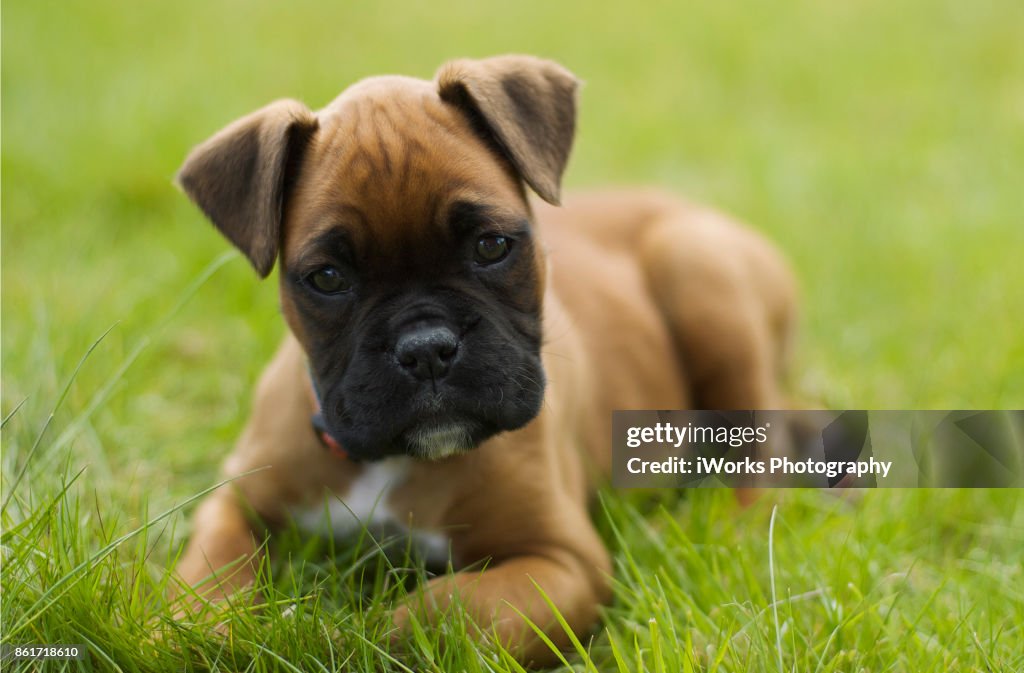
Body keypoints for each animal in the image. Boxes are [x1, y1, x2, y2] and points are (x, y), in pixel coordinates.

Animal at [174, 55, 798, 663]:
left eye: (491, 246)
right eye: (327, 278)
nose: (426, 349)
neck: (397, 462)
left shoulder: (560, 563)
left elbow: (451, 609)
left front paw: (356, 634)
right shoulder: (234, 500)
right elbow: (211, 569)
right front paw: (201, 631)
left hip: (695, 266)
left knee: (758, 446)